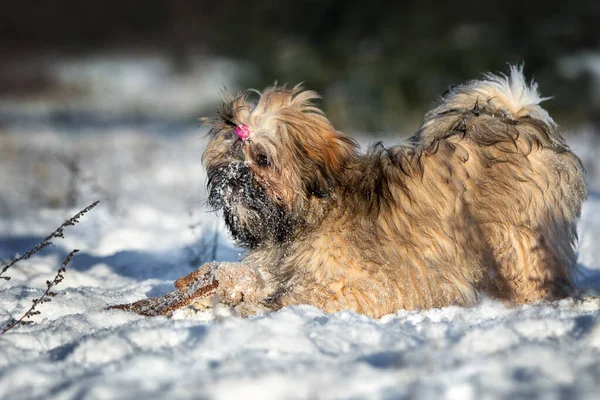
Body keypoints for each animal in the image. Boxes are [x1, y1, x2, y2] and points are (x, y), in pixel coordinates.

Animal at [109, 66, 584, 318]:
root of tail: (514, 115)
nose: (233, 178)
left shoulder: (353, 288)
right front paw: (214, 292)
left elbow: (296, 297)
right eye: (227, 156)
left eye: (261, 159)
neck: (305, 214)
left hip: (515, 238)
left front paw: (245, 306)